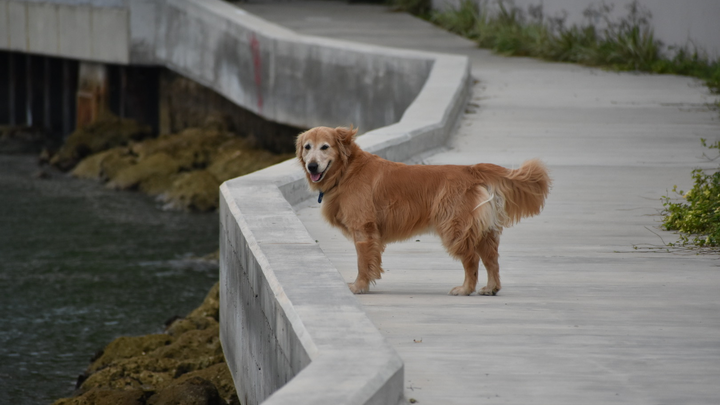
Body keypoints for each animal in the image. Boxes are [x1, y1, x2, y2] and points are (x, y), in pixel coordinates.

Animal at [296, 126, 551, 296]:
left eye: (325, 147)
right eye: (307, 147)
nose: (312, 166)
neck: (346, 171)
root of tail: (471, 169)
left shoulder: (363, 229)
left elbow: (362, 262)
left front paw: (359, 286)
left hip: (454, 228)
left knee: (472, 259)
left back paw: (465, 289)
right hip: (481, 230)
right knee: (491, 259)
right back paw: (490, 287)